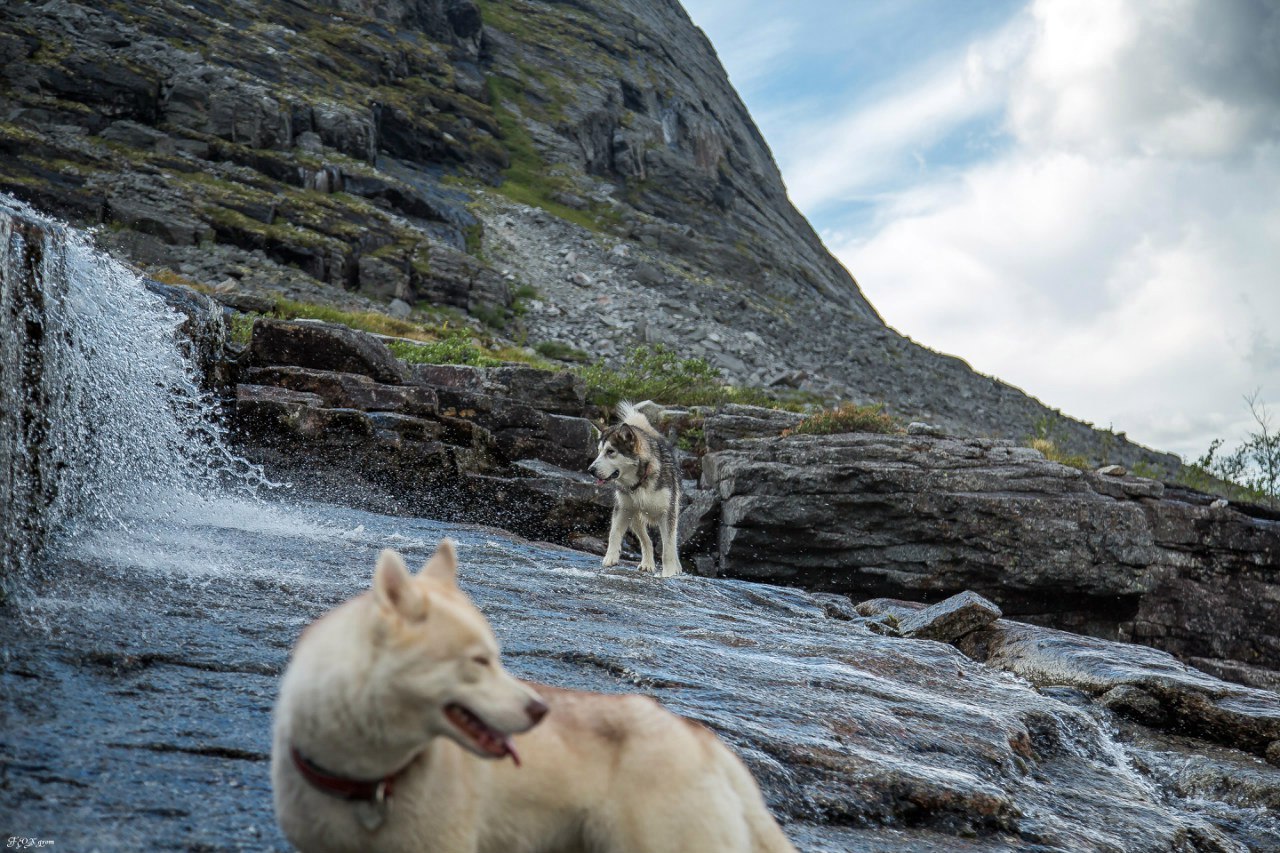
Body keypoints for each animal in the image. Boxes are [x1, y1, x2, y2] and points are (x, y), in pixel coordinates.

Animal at [588, 399, 686, 573]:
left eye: (610, 451)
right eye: (599, 451)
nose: (591, 470)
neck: (640, 482)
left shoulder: (667, 513)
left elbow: (668, 548)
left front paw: (668, 573)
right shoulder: (623, 508)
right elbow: (614, 533)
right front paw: (610, 558)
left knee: (672, 543)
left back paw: (676, 567)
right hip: (634, 517)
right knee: (646, 540)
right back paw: (647, 563)